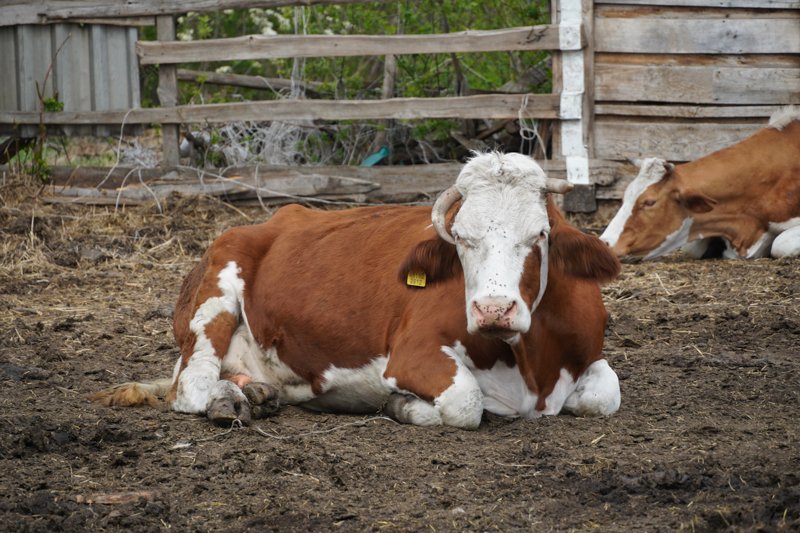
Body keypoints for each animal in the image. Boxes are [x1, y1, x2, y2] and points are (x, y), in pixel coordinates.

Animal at [90, 151, 620, 428]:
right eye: (462, 238)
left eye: (540, 235)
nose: (493, 309)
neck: (532, 366)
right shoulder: (411, 354)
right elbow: (465, 403)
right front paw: (404, 405)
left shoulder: (589, 355)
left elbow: (605, 394)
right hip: (211, 306)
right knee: (190, 385)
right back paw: (228, 399)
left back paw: (254, 391)